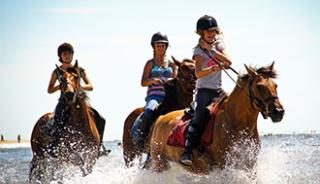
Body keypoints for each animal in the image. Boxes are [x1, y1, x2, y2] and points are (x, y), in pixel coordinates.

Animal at [149, 61, 284, 172]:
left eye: (275, 85)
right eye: (259, 86)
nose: (279, 112)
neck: (236, 121)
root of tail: (160, 118)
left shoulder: (250, 165)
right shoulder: (224, 165)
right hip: (159, 164)